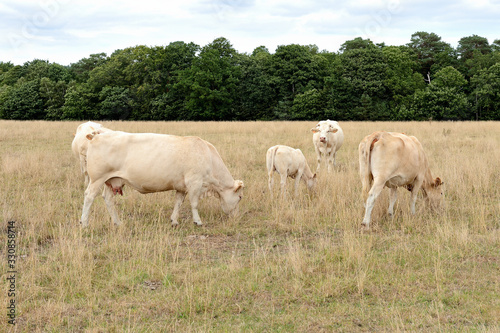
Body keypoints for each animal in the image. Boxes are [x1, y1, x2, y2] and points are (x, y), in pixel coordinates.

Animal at [80, 131, 244, 227]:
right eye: (240, 197)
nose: (237, 218)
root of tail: (98, 134)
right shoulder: (195, 182)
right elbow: (194, 204)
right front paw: (197, 221)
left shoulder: (181, 187)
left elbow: (178, 203)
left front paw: (174, 221)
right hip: (97, 179)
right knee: (89, 197)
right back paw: (84, 223)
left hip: (112, 180)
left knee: (108, 199)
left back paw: (117, 222)